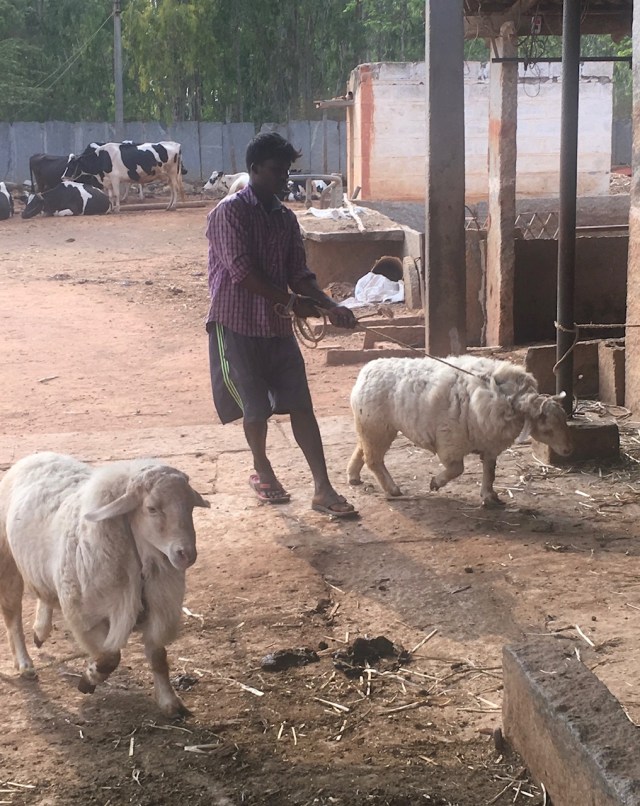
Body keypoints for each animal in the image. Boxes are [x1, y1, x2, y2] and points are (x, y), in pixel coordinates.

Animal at [0, 454, 210, 720]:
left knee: (44, 593)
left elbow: (158, 658)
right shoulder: (85, 617)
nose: (186, 555)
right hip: (7, 559)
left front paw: (169, 702)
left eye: (191, 506)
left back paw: (40, 630)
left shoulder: (156, 607)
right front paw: (89, 678)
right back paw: (25, 663)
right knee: (12, 614)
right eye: (152, 508)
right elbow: (110, 657)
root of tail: (35, 456)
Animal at [348, 356, 572, 508]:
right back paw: (392, 489)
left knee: (361, 449)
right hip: (377, 428)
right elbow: (457, 469)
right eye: (547, 427)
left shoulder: (489, 443)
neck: (508, 399)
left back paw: (353, 476)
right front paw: (435, 483)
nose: (568, 450)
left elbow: (490, 471)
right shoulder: (450, 443)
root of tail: (366, 370)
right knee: (374, 460)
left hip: (368, 426)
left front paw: (489, 496)